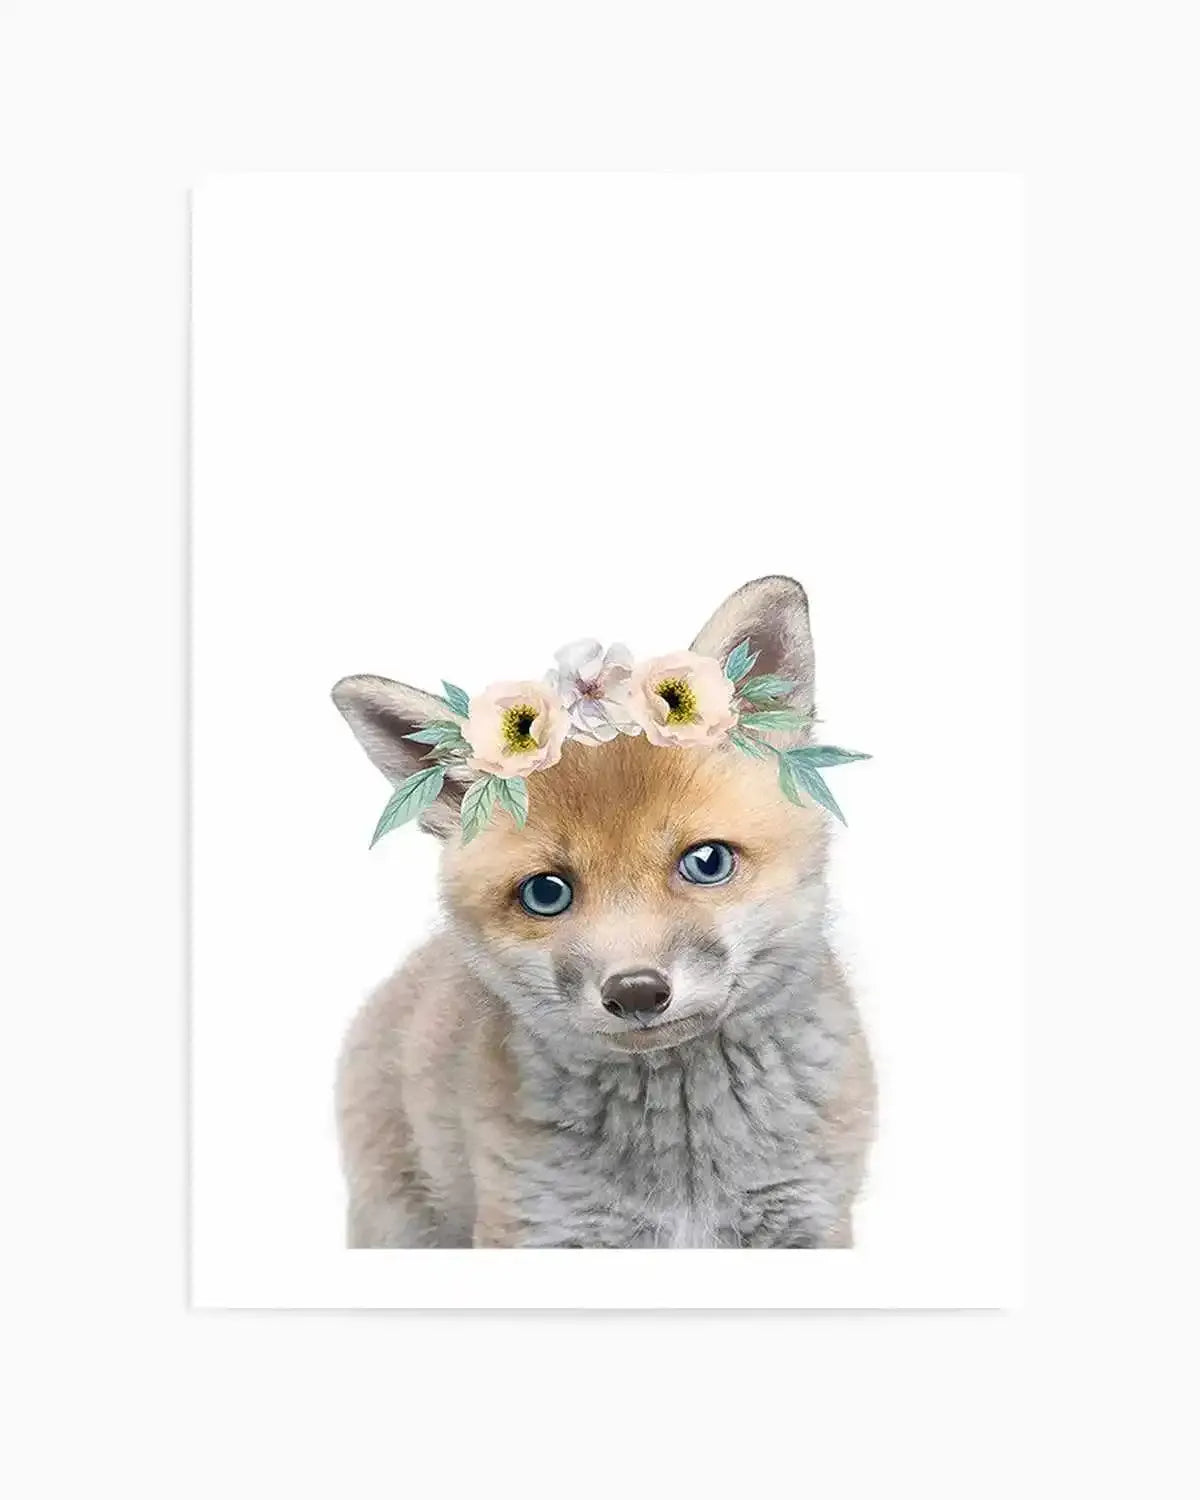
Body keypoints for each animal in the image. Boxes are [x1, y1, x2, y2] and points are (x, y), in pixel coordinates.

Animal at [331, 575, 875, 1248]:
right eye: (546, 893)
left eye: (707, 862)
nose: (636, 991)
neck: (685, 1166)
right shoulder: (540, 1226)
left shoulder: (809, 1220)